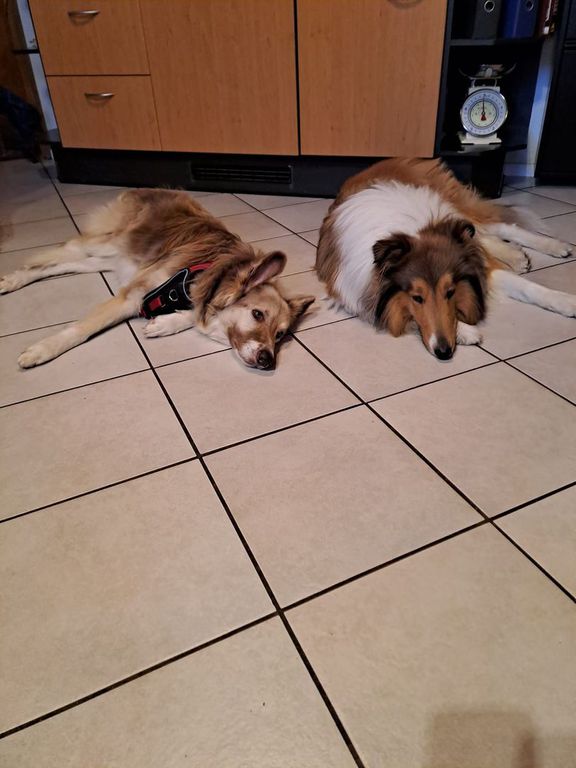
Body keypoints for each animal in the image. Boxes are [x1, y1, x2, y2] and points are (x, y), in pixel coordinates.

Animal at [0, 188, 315, 369]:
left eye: (280, 335)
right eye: (257, 315)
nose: (268, 361)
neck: (203, 275)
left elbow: (191, 316)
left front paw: (165, 323)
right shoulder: (132, 296)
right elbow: (82, 329)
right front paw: (44, 348)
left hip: (113, 259)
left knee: (59, 265)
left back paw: (12, 281)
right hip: (106, 243)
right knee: (62, 251)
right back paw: (14, 277)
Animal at [317, 158, 575, 359]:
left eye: (450, 292)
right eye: (417, 297)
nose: (444, 351)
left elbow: (527, 287)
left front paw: (566, 301)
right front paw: (466, 331)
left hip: (455, 207)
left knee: (501, 228)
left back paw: (555, 246)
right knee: (487, 238)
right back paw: (517, 256)